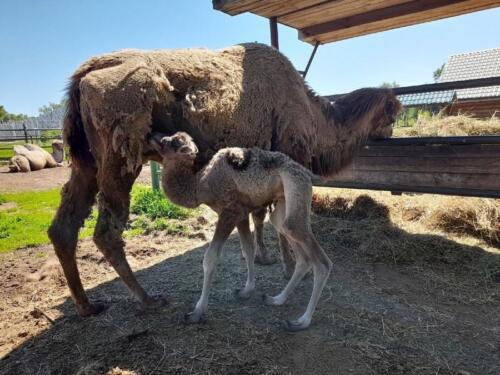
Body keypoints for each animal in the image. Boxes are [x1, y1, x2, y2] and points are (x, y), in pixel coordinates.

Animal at [150, 132, 334, 332]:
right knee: (297, 250)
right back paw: (277, 299)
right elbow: (248, 249)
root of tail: (308, 174)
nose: (153, 136)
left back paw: (301, 321)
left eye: (171, 142)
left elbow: (210, 258)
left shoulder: (229, 213)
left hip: (296, 188)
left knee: (321, 262)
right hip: (285, 202)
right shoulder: (241, 213)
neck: (202, 185)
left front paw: (196, 312)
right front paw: (246, 290)